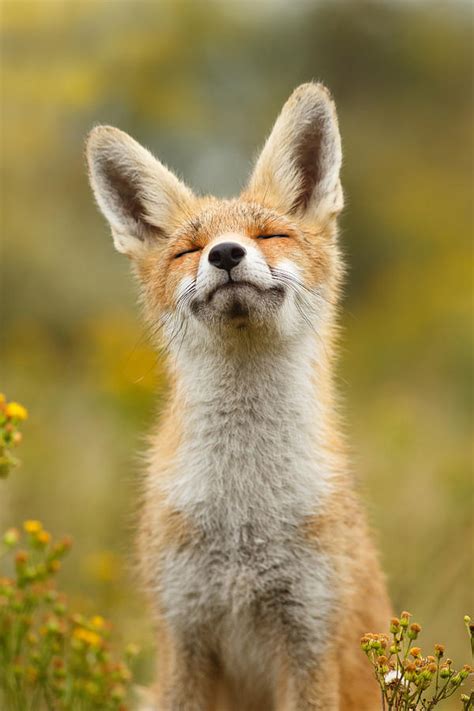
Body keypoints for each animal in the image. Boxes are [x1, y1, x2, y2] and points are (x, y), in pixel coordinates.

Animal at [87, 80, 390, 708]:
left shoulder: (309, 638)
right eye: (188, 249)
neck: (243, 518)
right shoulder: (183, 635)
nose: (225, 253)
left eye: (271, 236)